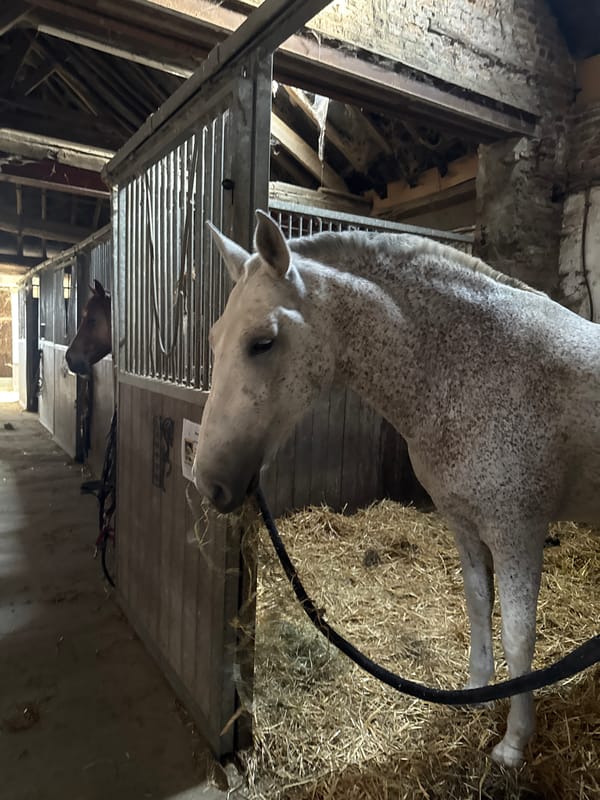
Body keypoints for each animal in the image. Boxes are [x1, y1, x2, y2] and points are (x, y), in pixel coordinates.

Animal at [192, 210, 600, 768]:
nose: (209, 482)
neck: (476, 367)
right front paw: (476, 695)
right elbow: (478, 604)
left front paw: (514, 743)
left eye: (263, 342)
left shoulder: (517, 532)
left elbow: (519, 638)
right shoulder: (464, 523)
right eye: (215, 340)